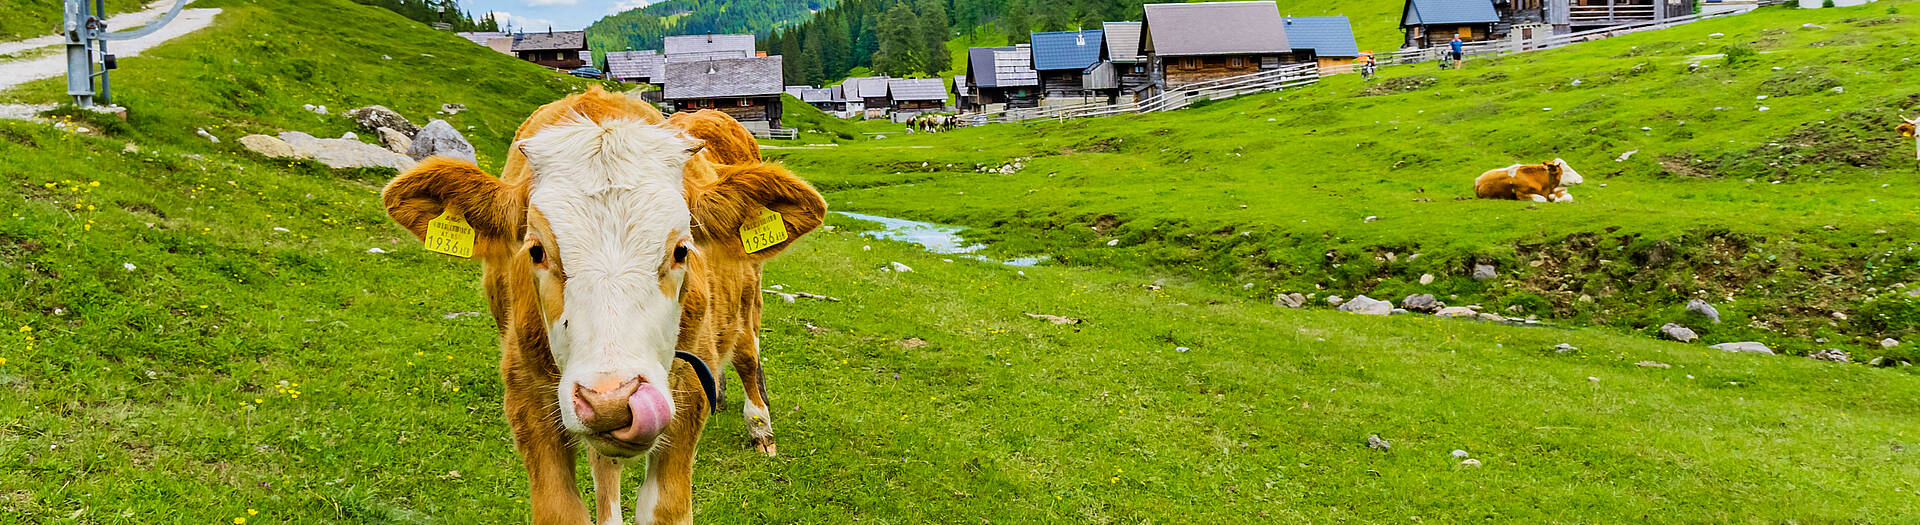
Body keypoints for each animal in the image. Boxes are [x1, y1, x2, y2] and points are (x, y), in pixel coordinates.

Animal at [378, 87, 821, 523]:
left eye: (682, 249)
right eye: (536, 250)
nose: (612, 402)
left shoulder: (688, 390)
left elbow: (665, 506)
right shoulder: (526, 395)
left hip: (749, 287)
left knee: (747, 349)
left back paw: (760, 427)